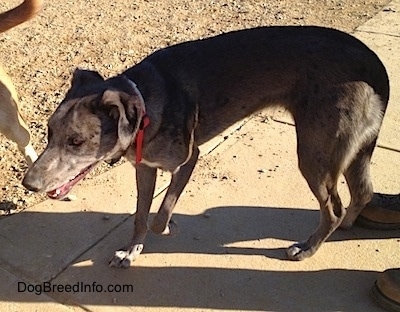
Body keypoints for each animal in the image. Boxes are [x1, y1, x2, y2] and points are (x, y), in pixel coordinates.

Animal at [21, 26, 388, 268]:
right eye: (48, 132)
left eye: (76, 141)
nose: (29, 184)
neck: (145, 105)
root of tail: (373, 65)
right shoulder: (145, 167)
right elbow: (140, 217)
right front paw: (132, 251)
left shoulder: (187, 160)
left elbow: (160, 216)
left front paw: (169, 228)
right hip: (350, 150)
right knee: (363, 192)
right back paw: (348, 225)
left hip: (314, 153)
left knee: (334, 208)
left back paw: (308, 249)